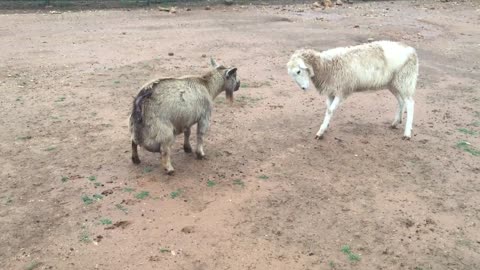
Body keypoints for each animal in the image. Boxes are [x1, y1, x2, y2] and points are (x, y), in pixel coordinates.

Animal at [286, 41, 418, 140]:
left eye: (298, 71)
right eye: (292, 75)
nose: (303, 88)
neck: (326, 66)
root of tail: (412, 50)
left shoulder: (341, 90)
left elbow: (330, 110)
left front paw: (321, 131)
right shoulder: (331, 92)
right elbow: (328, 109)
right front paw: (325, 125)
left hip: (405, 79)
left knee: (410, 103)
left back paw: (407, 133)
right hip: (394, 83)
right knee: (401, 101)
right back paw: (396, 122)